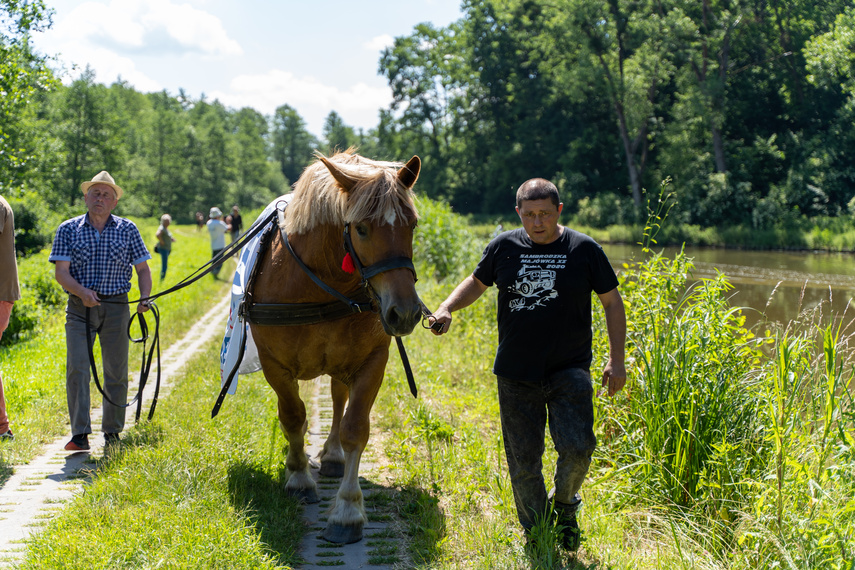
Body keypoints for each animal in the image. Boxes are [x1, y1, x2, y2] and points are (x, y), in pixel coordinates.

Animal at [247, 151, 422, 540]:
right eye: (361, 228)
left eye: (412, 225)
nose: (404, 312)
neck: (321, 284)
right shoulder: (274, 365)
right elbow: (293, 416)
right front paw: (298, 477)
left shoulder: (372, 361)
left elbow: (355, 427)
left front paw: (347, 508)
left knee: (338, 399)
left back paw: (331, 455)